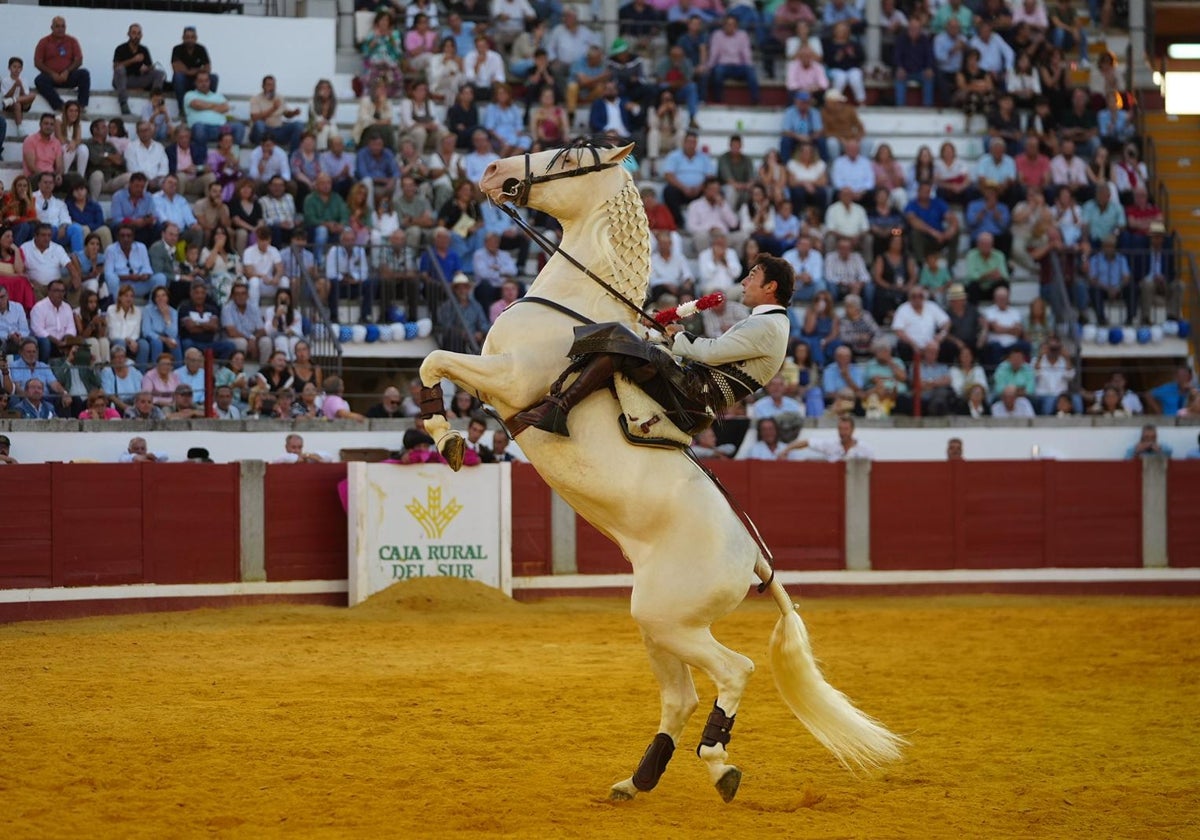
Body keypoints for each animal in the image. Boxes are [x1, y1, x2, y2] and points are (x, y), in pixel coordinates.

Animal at [420, 139, 902, 801]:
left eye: (568, 154)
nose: (492, 171)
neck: (575, 303)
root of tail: (755, 558)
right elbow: (433, 363)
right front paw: (447, 436)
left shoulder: (511, 380)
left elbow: (433, 360)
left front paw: (449, 439)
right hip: (656, 620)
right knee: (682, 695)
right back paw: (639, 778)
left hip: (672, 621)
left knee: (735, 670)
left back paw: (719, 763)